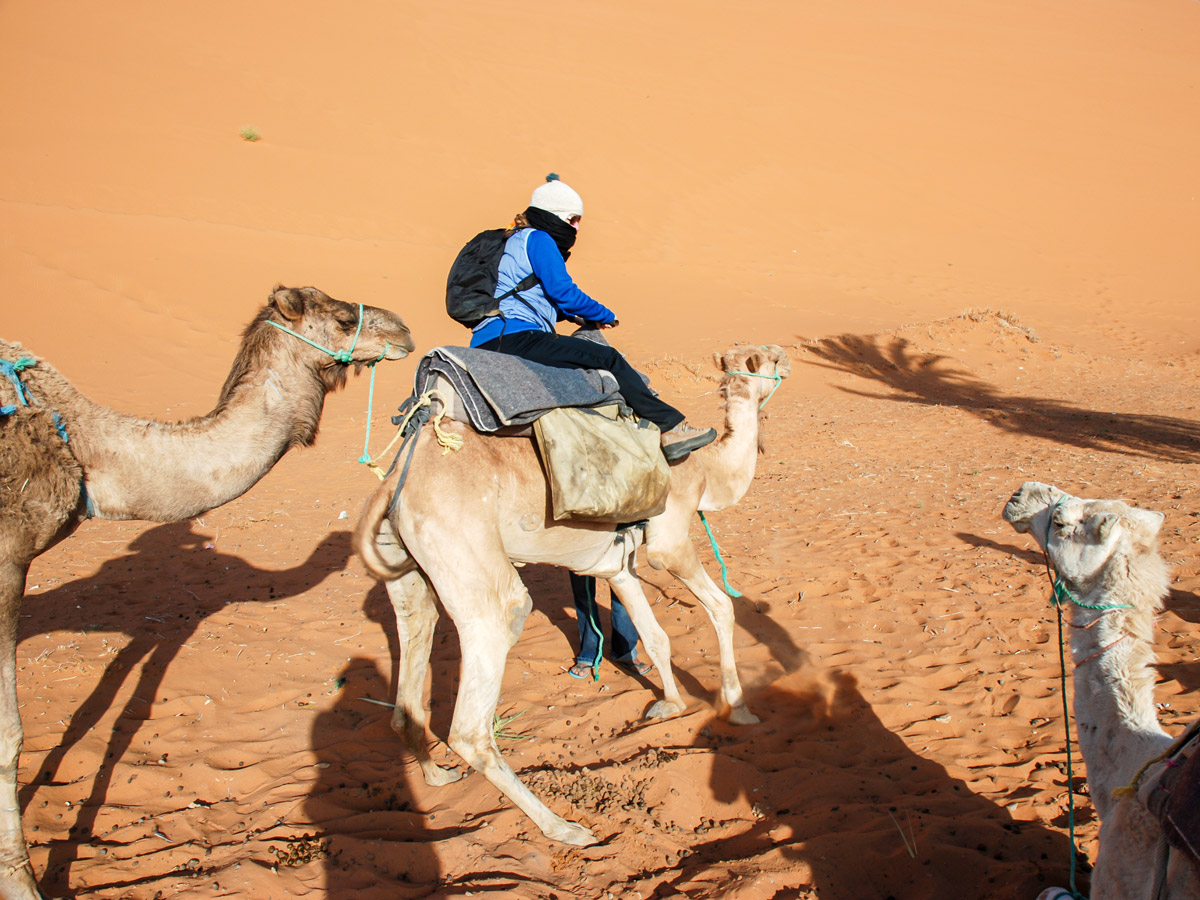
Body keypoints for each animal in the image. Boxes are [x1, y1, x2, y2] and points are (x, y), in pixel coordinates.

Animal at [0, 286, 412, 900]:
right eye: (342, 319)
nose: (405, 330)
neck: (82, 447)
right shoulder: (8, 558)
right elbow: (9, 736)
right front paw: (24, 885)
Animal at [350, 343, 792, 844]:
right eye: (768, 358)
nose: (787, 357)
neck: (708, 472)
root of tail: (394, 482)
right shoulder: (670, 542)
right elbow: (721, 607)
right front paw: (738, 709)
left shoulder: (616, 565)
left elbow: (655, 636)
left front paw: (671, 705)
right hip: (470, 557)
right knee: (472, 720)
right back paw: (565, 829)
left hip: (408, 571)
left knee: (413, 656)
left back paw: (437, 776)